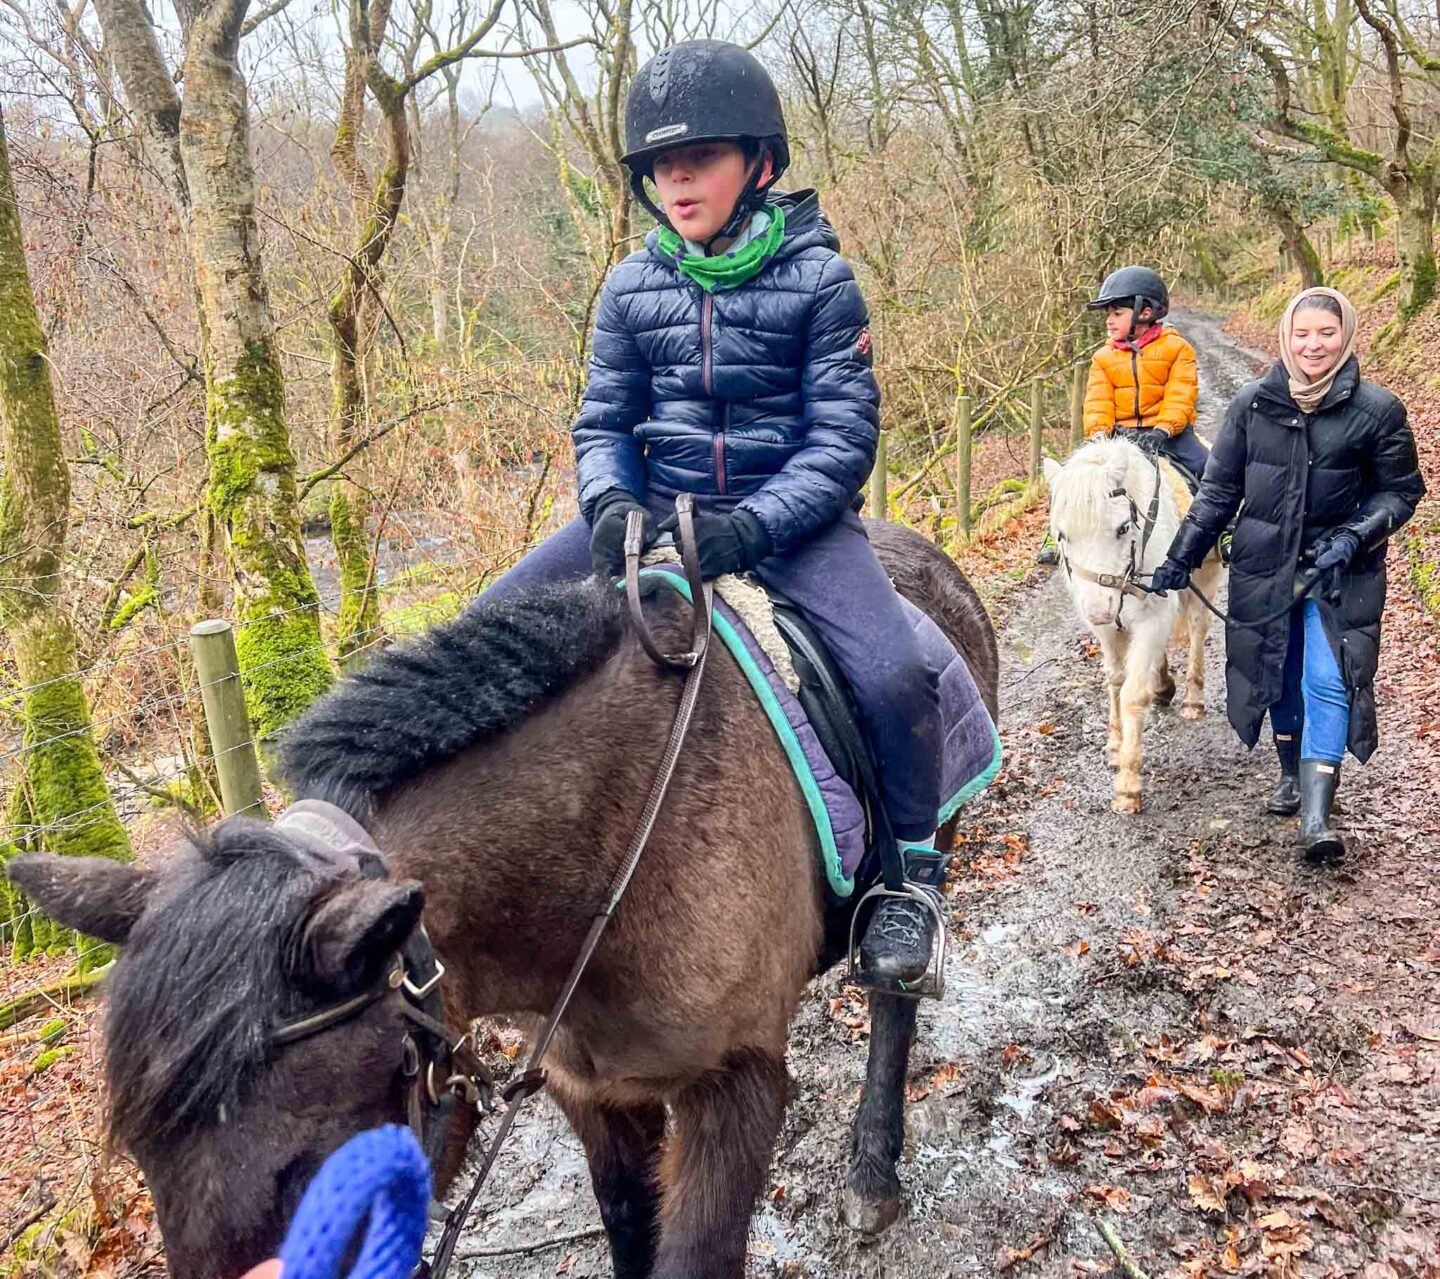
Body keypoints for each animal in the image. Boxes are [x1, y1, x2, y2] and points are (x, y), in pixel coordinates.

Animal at [8, 519, 998, 1279]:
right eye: (147, 1162)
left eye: (311, 1165)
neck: (612, 862)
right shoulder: (589, 1086)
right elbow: (628, 1229)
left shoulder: (737, 1086)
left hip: (929, 848)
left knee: (894, 999)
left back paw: (872, 1169)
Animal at [1043, 438, 1225, 813]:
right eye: (1063, 534)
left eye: (1122, 528)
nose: (1099, 610)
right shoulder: (1108, 629)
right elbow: (1115, 679)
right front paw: (1114, 743)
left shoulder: (1152, 619)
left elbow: (1133, 693)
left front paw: (1127, 786)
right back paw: (1165, 685)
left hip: (1205, 578)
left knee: (1198, 629)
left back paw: (1193, 700)